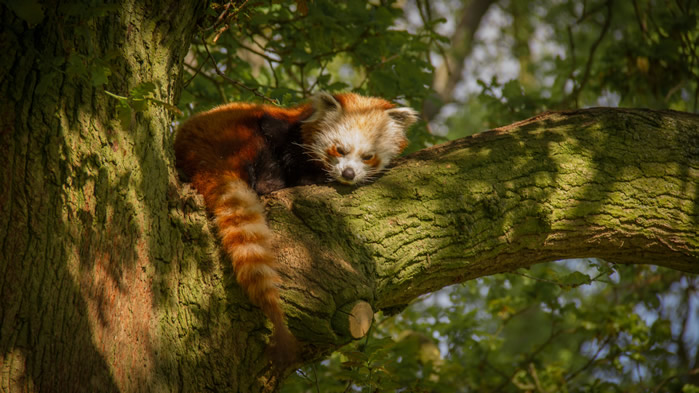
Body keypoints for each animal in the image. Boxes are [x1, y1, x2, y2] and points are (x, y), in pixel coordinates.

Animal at [173, 92, 418, 362]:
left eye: (368, 156)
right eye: (340, 149)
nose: (348, 173)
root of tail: (199, 154)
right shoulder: (282, 134)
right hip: (238, 136)